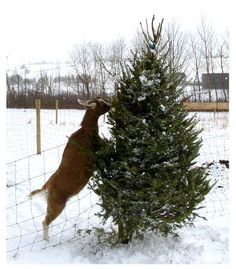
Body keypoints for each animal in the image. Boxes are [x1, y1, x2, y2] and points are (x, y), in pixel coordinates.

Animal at [29, 96, 112, 239]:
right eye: (102, 103)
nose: (111, 104)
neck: (87, 130)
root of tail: (46, 187)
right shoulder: (97, 153)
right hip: (57, 204)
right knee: (45, 221)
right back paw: (46, 240)